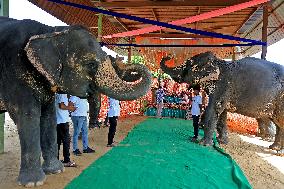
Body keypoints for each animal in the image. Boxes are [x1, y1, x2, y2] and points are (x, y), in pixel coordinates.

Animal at [0, 17, 152, 187]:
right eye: (91, 64)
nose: (128, 63)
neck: (51, 32)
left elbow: (48, 117)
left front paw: (56, 170)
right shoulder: (14, 72)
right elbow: (27, 115)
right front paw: (33, 183)